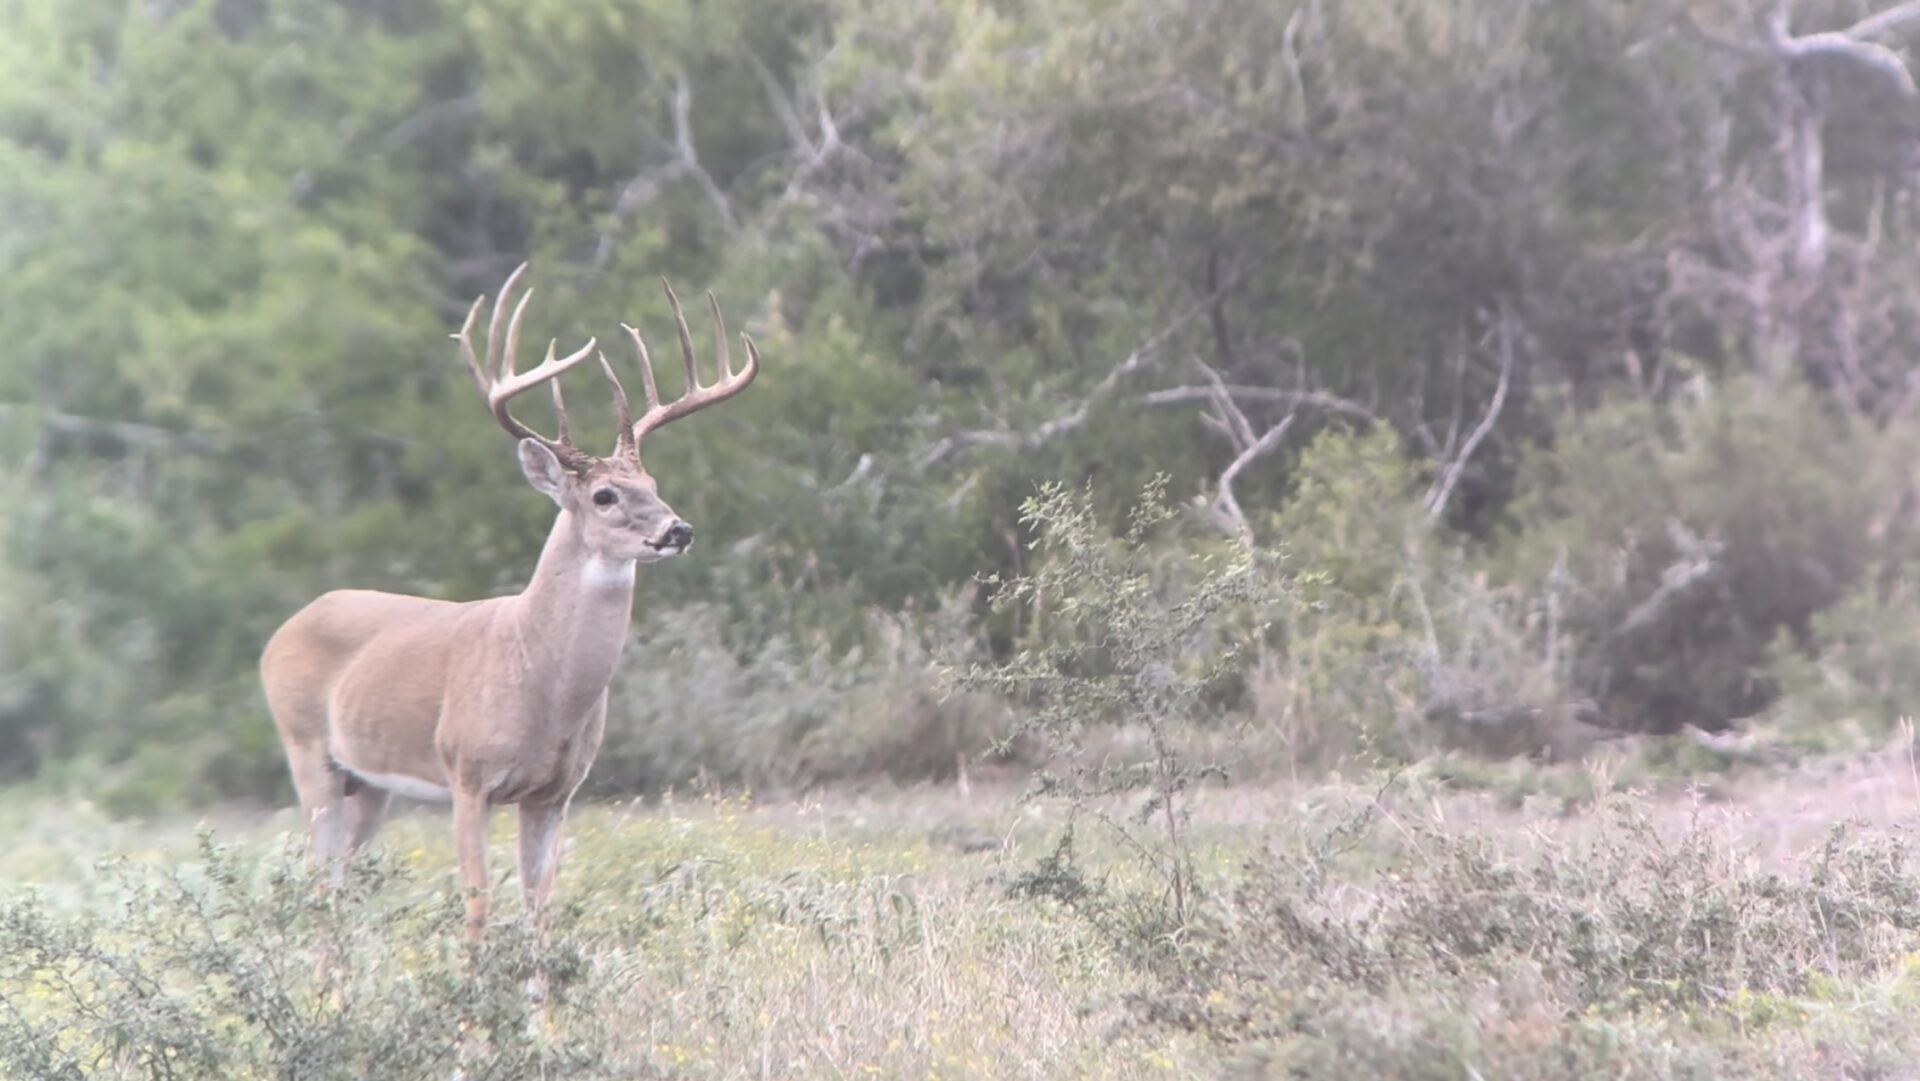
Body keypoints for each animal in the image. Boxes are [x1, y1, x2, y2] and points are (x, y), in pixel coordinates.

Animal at [263, 266, 756, 952]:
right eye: (605, 495)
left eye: (654, 486)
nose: (678, 529)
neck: (539, 674)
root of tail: (283, 629)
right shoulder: (467, 775)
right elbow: (478, 909)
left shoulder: (555, 793)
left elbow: (539, 912)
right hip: (308, 750)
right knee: (319, 889)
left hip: (370, 783)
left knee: (343, 887)